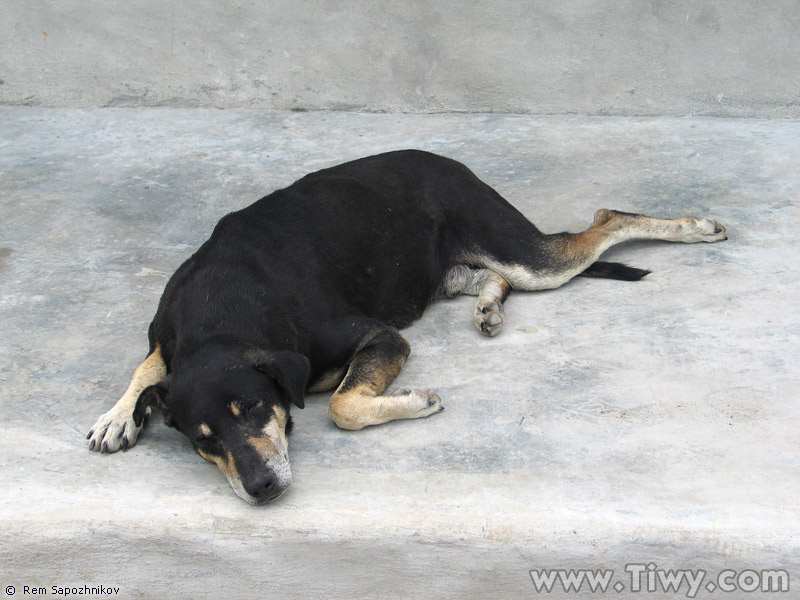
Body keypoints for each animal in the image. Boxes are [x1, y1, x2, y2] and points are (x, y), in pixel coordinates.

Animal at [86, 149, 724, 502]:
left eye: (256, 410)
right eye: (204, 442)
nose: (262, 489)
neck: (221, 311)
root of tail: (445, 158)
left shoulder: (378, 335)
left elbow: (342, 406)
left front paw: (415, 401)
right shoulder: (167, 329)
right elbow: (149, 364)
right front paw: (119, 414)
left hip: (523, 251)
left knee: (602, 221)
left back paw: (693, 227)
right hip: (443, 271)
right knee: (495, 277)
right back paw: (488, 305)